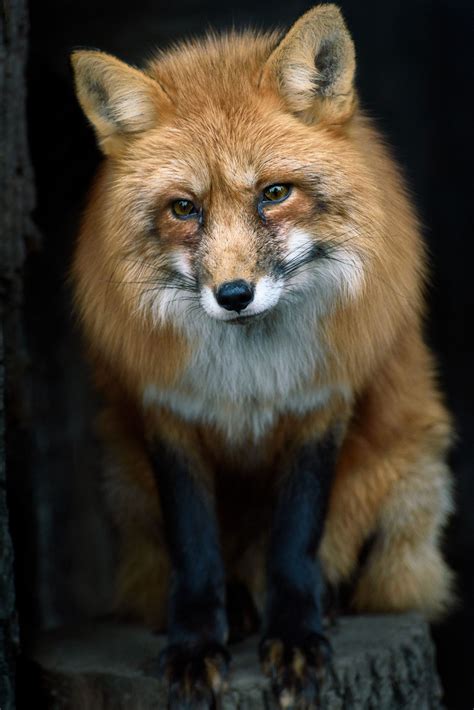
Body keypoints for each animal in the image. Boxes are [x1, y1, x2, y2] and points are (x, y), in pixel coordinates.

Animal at [70, 4, 454, 708]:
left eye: (274, 193)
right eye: (184, 208)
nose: (233, 295)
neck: (250, 380)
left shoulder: (320, 406)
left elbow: (296, 538)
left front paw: (297, 634)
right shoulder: (168, 413)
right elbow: (194, 548)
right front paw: (196, 644)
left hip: (417, 475)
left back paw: (324, 601)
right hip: (124, 483)